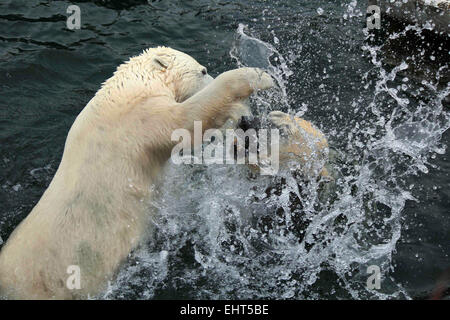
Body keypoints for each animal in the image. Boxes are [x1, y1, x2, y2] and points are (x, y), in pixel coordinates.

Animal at [0, 47, 274, 300]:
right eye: (203, 70)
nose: (209, 71)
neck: (128, 88)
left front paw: (244, 118)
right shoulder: (138, 117)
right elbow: (185, 120)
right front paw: (258, 76)